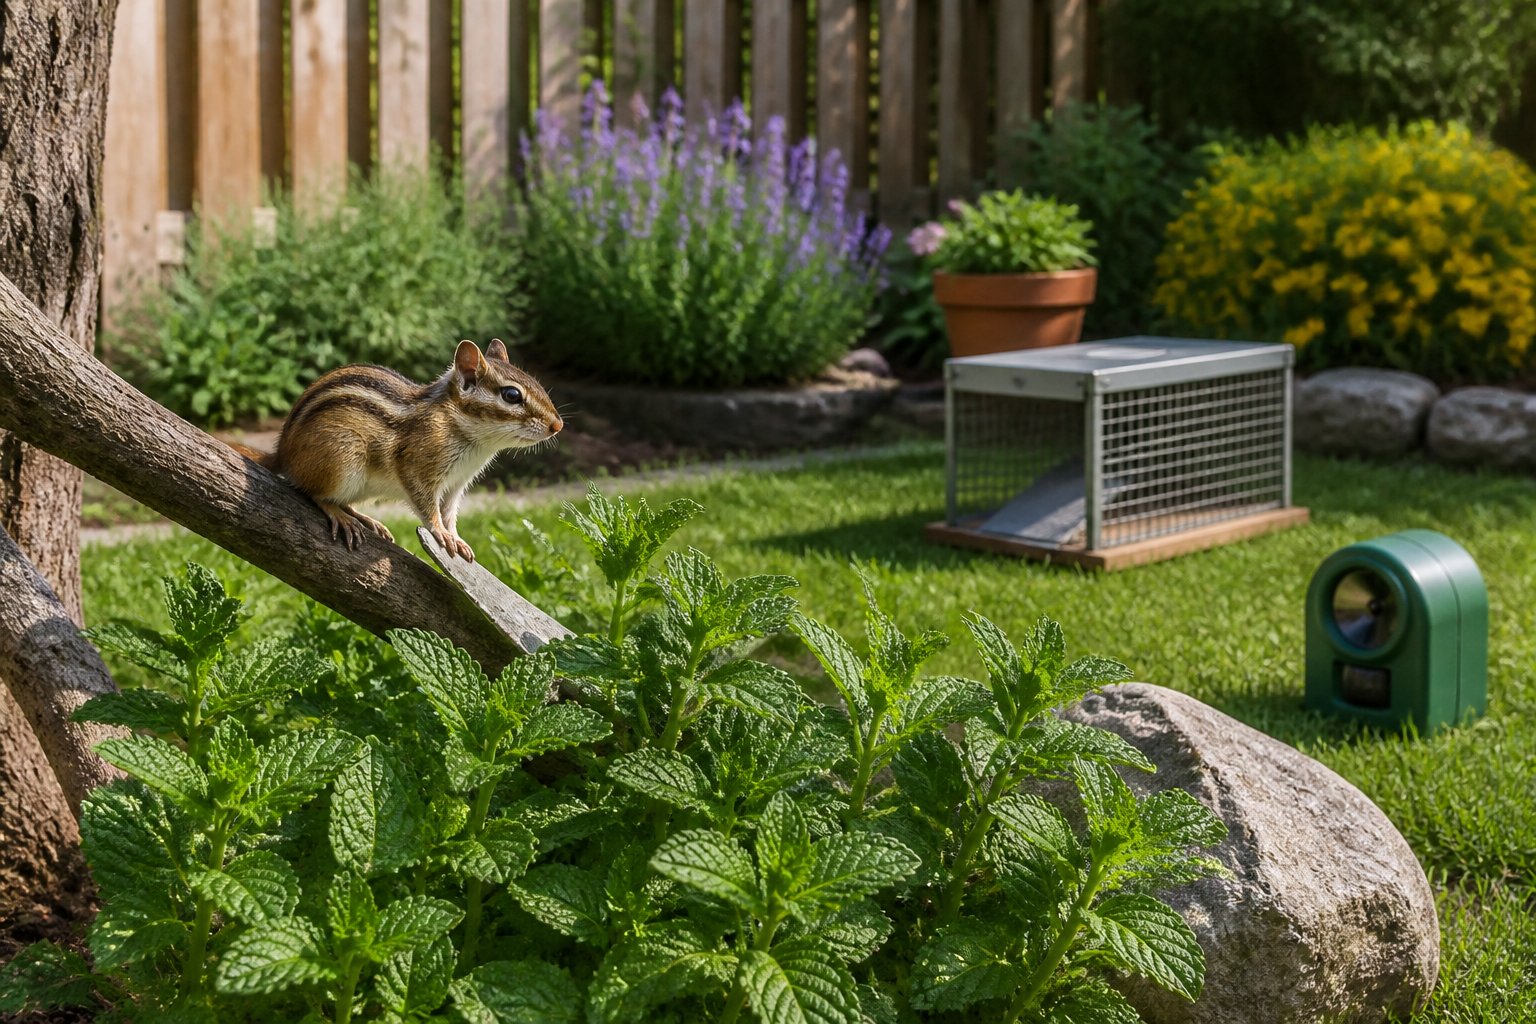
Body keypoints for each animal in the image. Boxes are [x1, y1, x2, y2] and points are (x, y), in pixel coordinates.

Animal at [231, 339, 562, 562]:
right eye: (512, 395)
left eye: (537, 384)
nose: (557, 425)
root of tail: (282, 452)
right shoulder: (418, 465)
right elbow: (428, 507)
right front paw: (440, 533)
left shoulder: (457, 484)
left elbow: (450, 512)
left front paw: (456, 537)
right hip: (344, 456)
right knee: (311, 491)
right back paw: (340, 515)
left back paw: (367, 519)